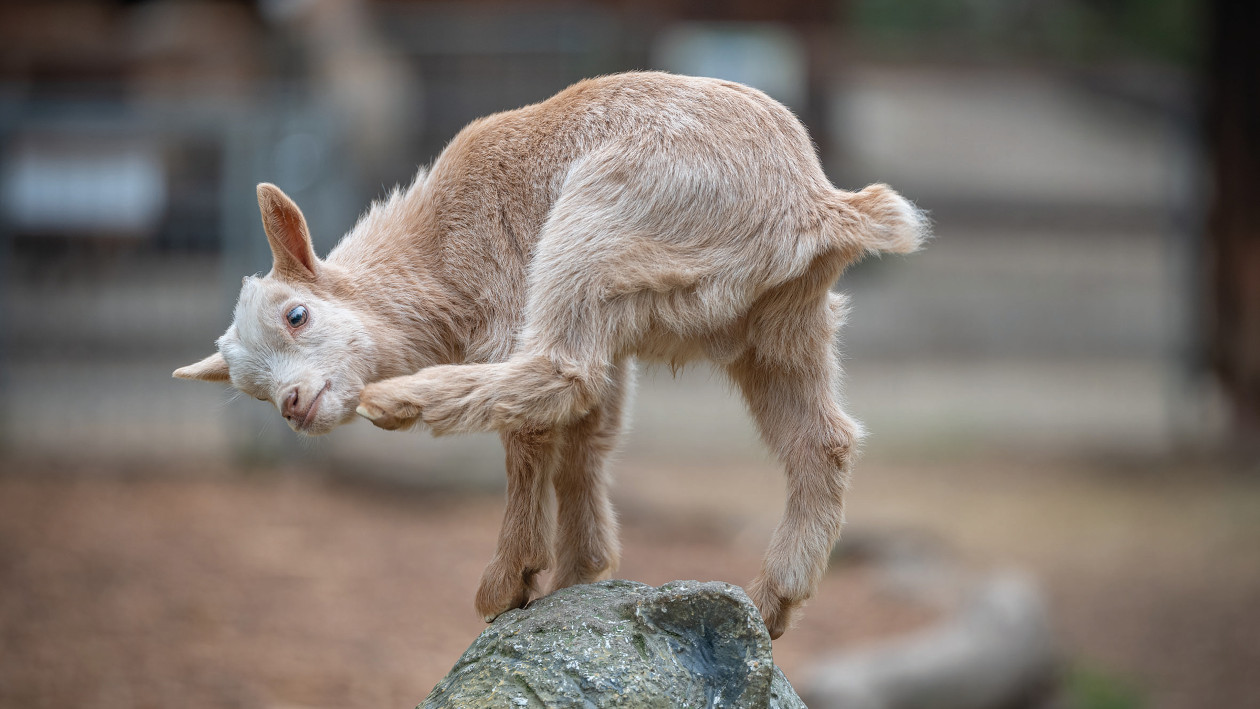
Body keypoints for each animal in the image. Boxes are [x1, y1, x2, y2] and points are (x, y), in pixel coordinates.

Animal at [175, 72, 927, 637]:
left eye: (296, 315)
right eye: (251, 388)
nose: (294, 405)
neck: (432, 257)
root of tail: (814, 204)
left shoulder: (510, 306)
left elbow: (537, 437)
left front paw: (514, 581)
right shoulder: (614, 346)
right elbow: (589, 439)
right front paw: (579, 572)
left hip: (595, 223)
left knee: (560, 373)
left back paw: (403, 402)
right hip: (779, 323)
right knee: (822, 440)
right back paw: (773, 600)